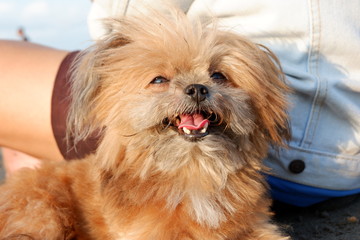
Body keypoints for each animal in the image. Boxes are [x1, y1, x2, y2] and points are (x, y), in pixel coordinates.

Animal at [0, 7, 290, 240]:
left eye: (218, 75)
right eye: (159, 80)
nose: (197, 88)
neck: (193, 172)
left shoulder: (257, 228)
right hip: (44, 214)